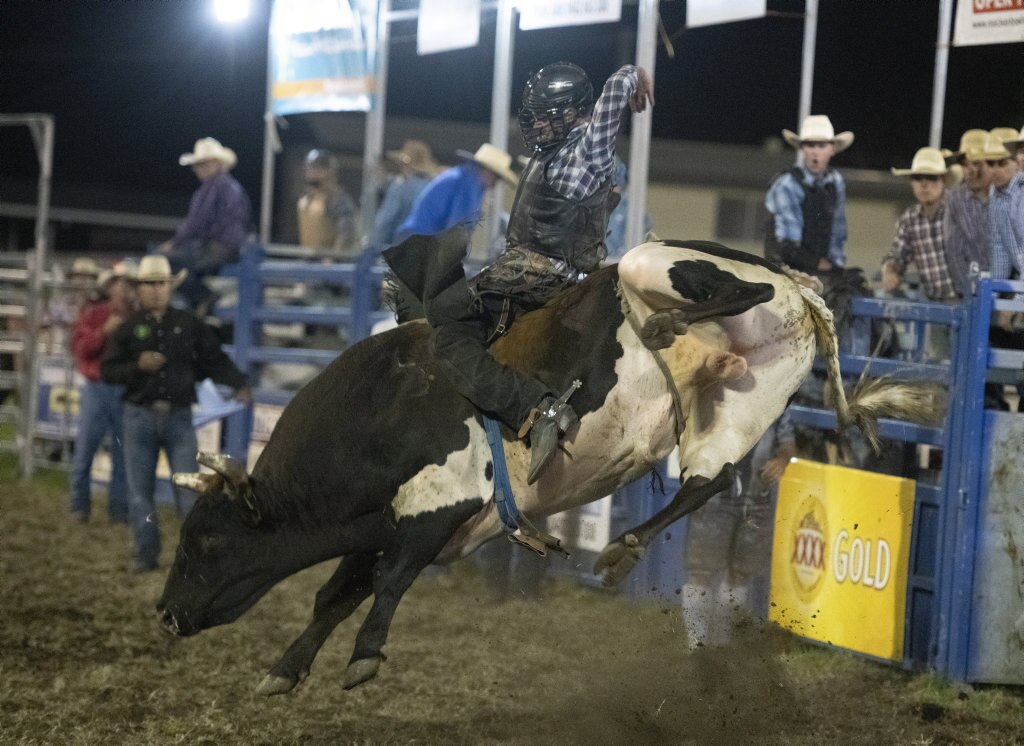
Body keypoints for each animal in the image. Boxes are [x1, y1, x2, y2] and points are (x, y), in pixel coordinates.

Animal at [155, 238, 937, 691]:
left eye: (204, 541)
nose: (164, 614)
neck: (383, 410)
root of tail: (801, 283)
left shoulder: (435, 506)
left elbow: (389, 581)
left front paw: (365, 658)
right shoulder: (387, 521)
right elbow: (335, 593)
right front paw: (286, 671)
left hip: (660, 261)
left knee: (721, 291)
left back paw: (664, 323)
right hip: (739, 407)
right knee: (704, 479)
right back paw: (622, 548)